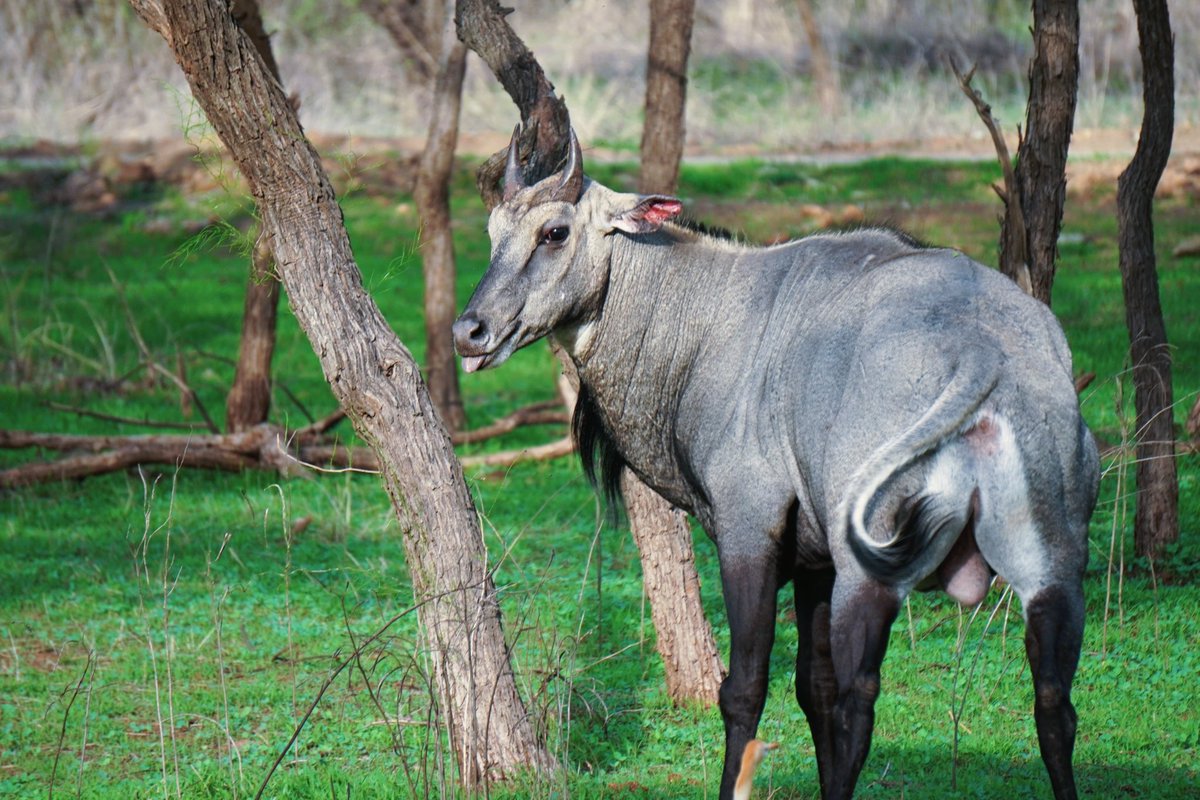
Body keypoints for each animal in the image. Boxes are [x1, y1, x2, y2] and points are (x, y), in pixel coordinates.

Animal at [452, 127, 1100, 800]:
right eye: (492, 231)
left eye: (554, 232)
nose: (469, 331)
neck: (712, 319)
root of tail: (982, 354)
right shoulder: (815, 561)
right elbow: (811, 688)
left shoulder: (749, 532)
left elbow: (745, 690)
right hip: (1054, 567)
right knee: (1054, 700)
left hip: (869, 573)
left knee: (859, 699)